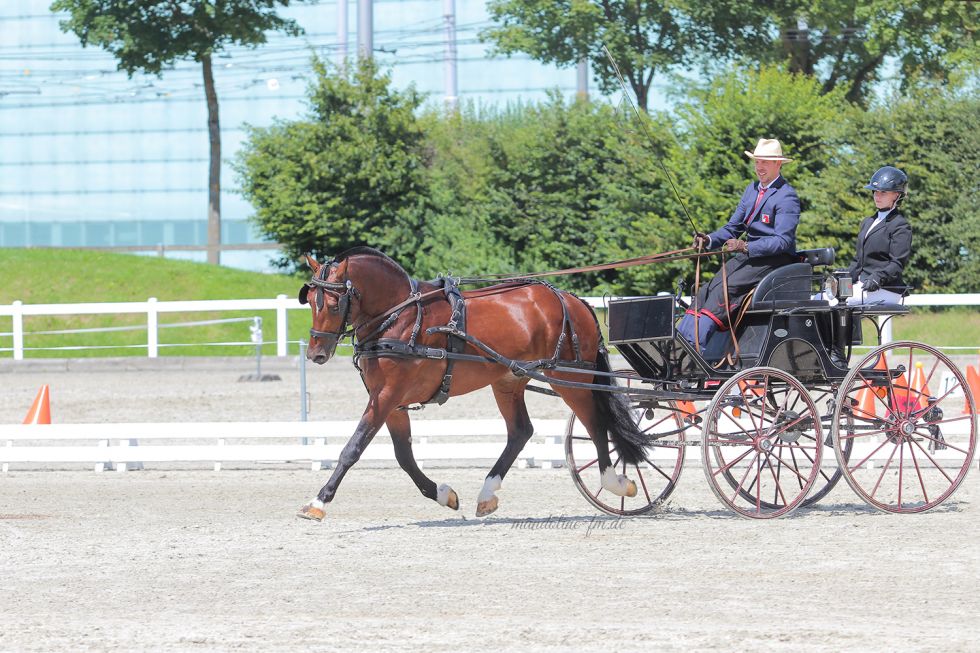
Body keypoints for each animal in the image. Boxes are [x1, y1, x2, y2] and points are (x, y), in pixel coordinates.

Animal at [295, 247, 655, 521]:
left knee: (594, 423)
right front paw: (444, 494)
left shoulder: (387, 396)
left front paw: (318, 502)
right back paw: (487, 493)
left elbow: (353, 448)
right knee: (521, 431)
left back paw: (614, 482)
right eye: (310, 299)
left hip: (569, 377)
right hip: (510, 380)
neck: (401, 318)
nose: (316, 353)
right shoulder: (392, 402)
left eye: (333, 304)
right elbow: (404, 456)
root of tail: (572, 299)